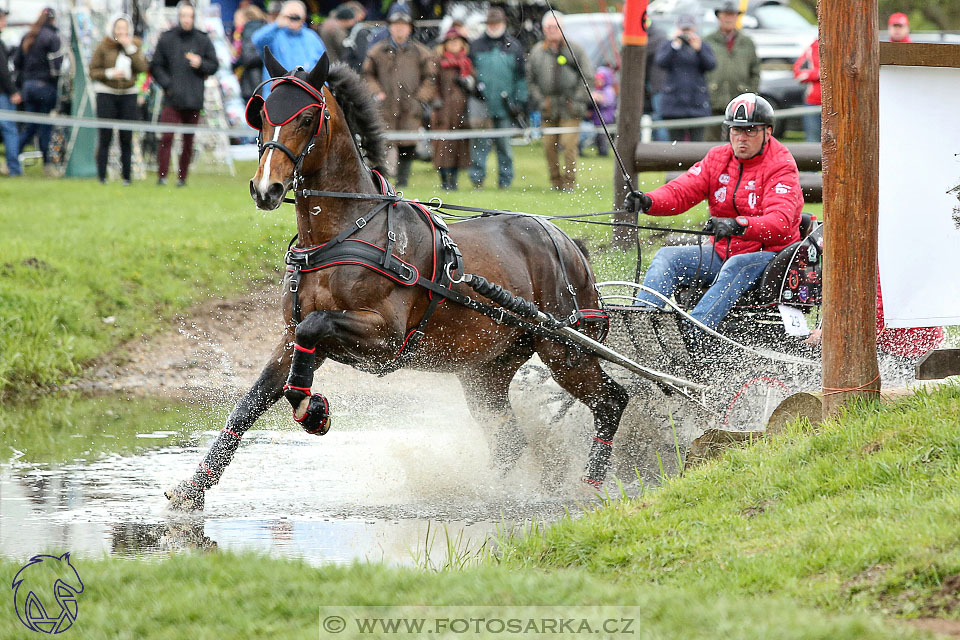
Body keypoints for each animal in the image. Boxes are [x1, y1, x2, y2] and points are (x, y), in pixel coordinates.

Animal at [165, 51, 632, 510]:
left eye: (306, 117)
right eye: (261, 114)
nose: (266, 188)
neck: (345, 232)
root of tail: (567, 243)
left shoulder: (384, 338)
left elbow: (314, 329)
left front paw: (312, 410)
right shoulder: (291, 339)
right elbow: (249, 404)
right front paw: (193, 489)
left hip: (564, 350)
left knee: (611, 401)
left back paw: (588, 487)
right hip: (487, 370)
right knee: (510, 440)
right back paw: (484, 491)